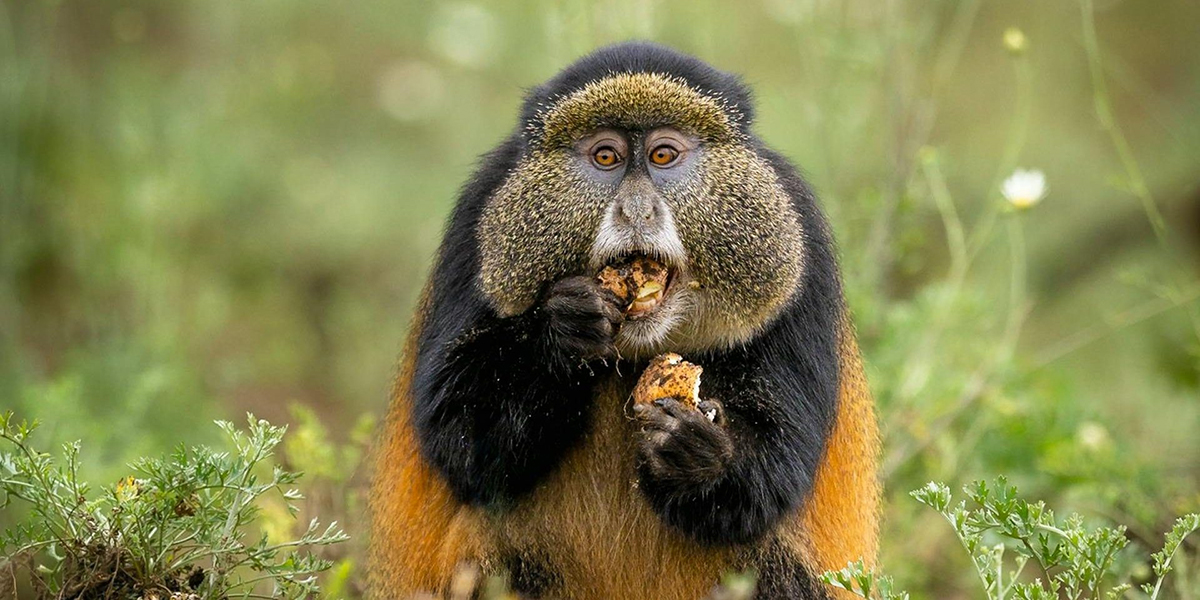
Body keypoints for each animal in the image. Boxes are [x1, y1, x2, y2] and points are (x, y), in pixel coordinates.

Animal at [369, 41, 880, 600]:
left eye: (663, 155)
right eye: (606, 157)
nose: (636, 210)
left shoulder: (799, 237)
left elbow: (777, 470)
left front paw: (696, 453)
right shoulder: (477, 218)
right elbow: (459, 436)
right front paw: (561, 333)